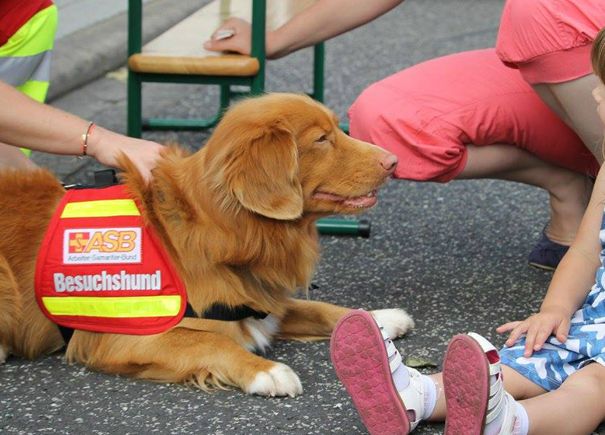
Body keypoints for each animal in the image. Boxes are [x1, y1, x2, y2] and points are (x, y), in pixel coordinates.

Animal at [0, 93, 410, 396]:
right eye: (322, 139)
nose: (393, 161)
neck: (223, 230)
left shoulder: (259, 299)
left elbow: (316, 308)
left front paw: (377, 317)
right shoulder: (123, 336)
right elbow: (211, 344)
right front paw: (267, 371)